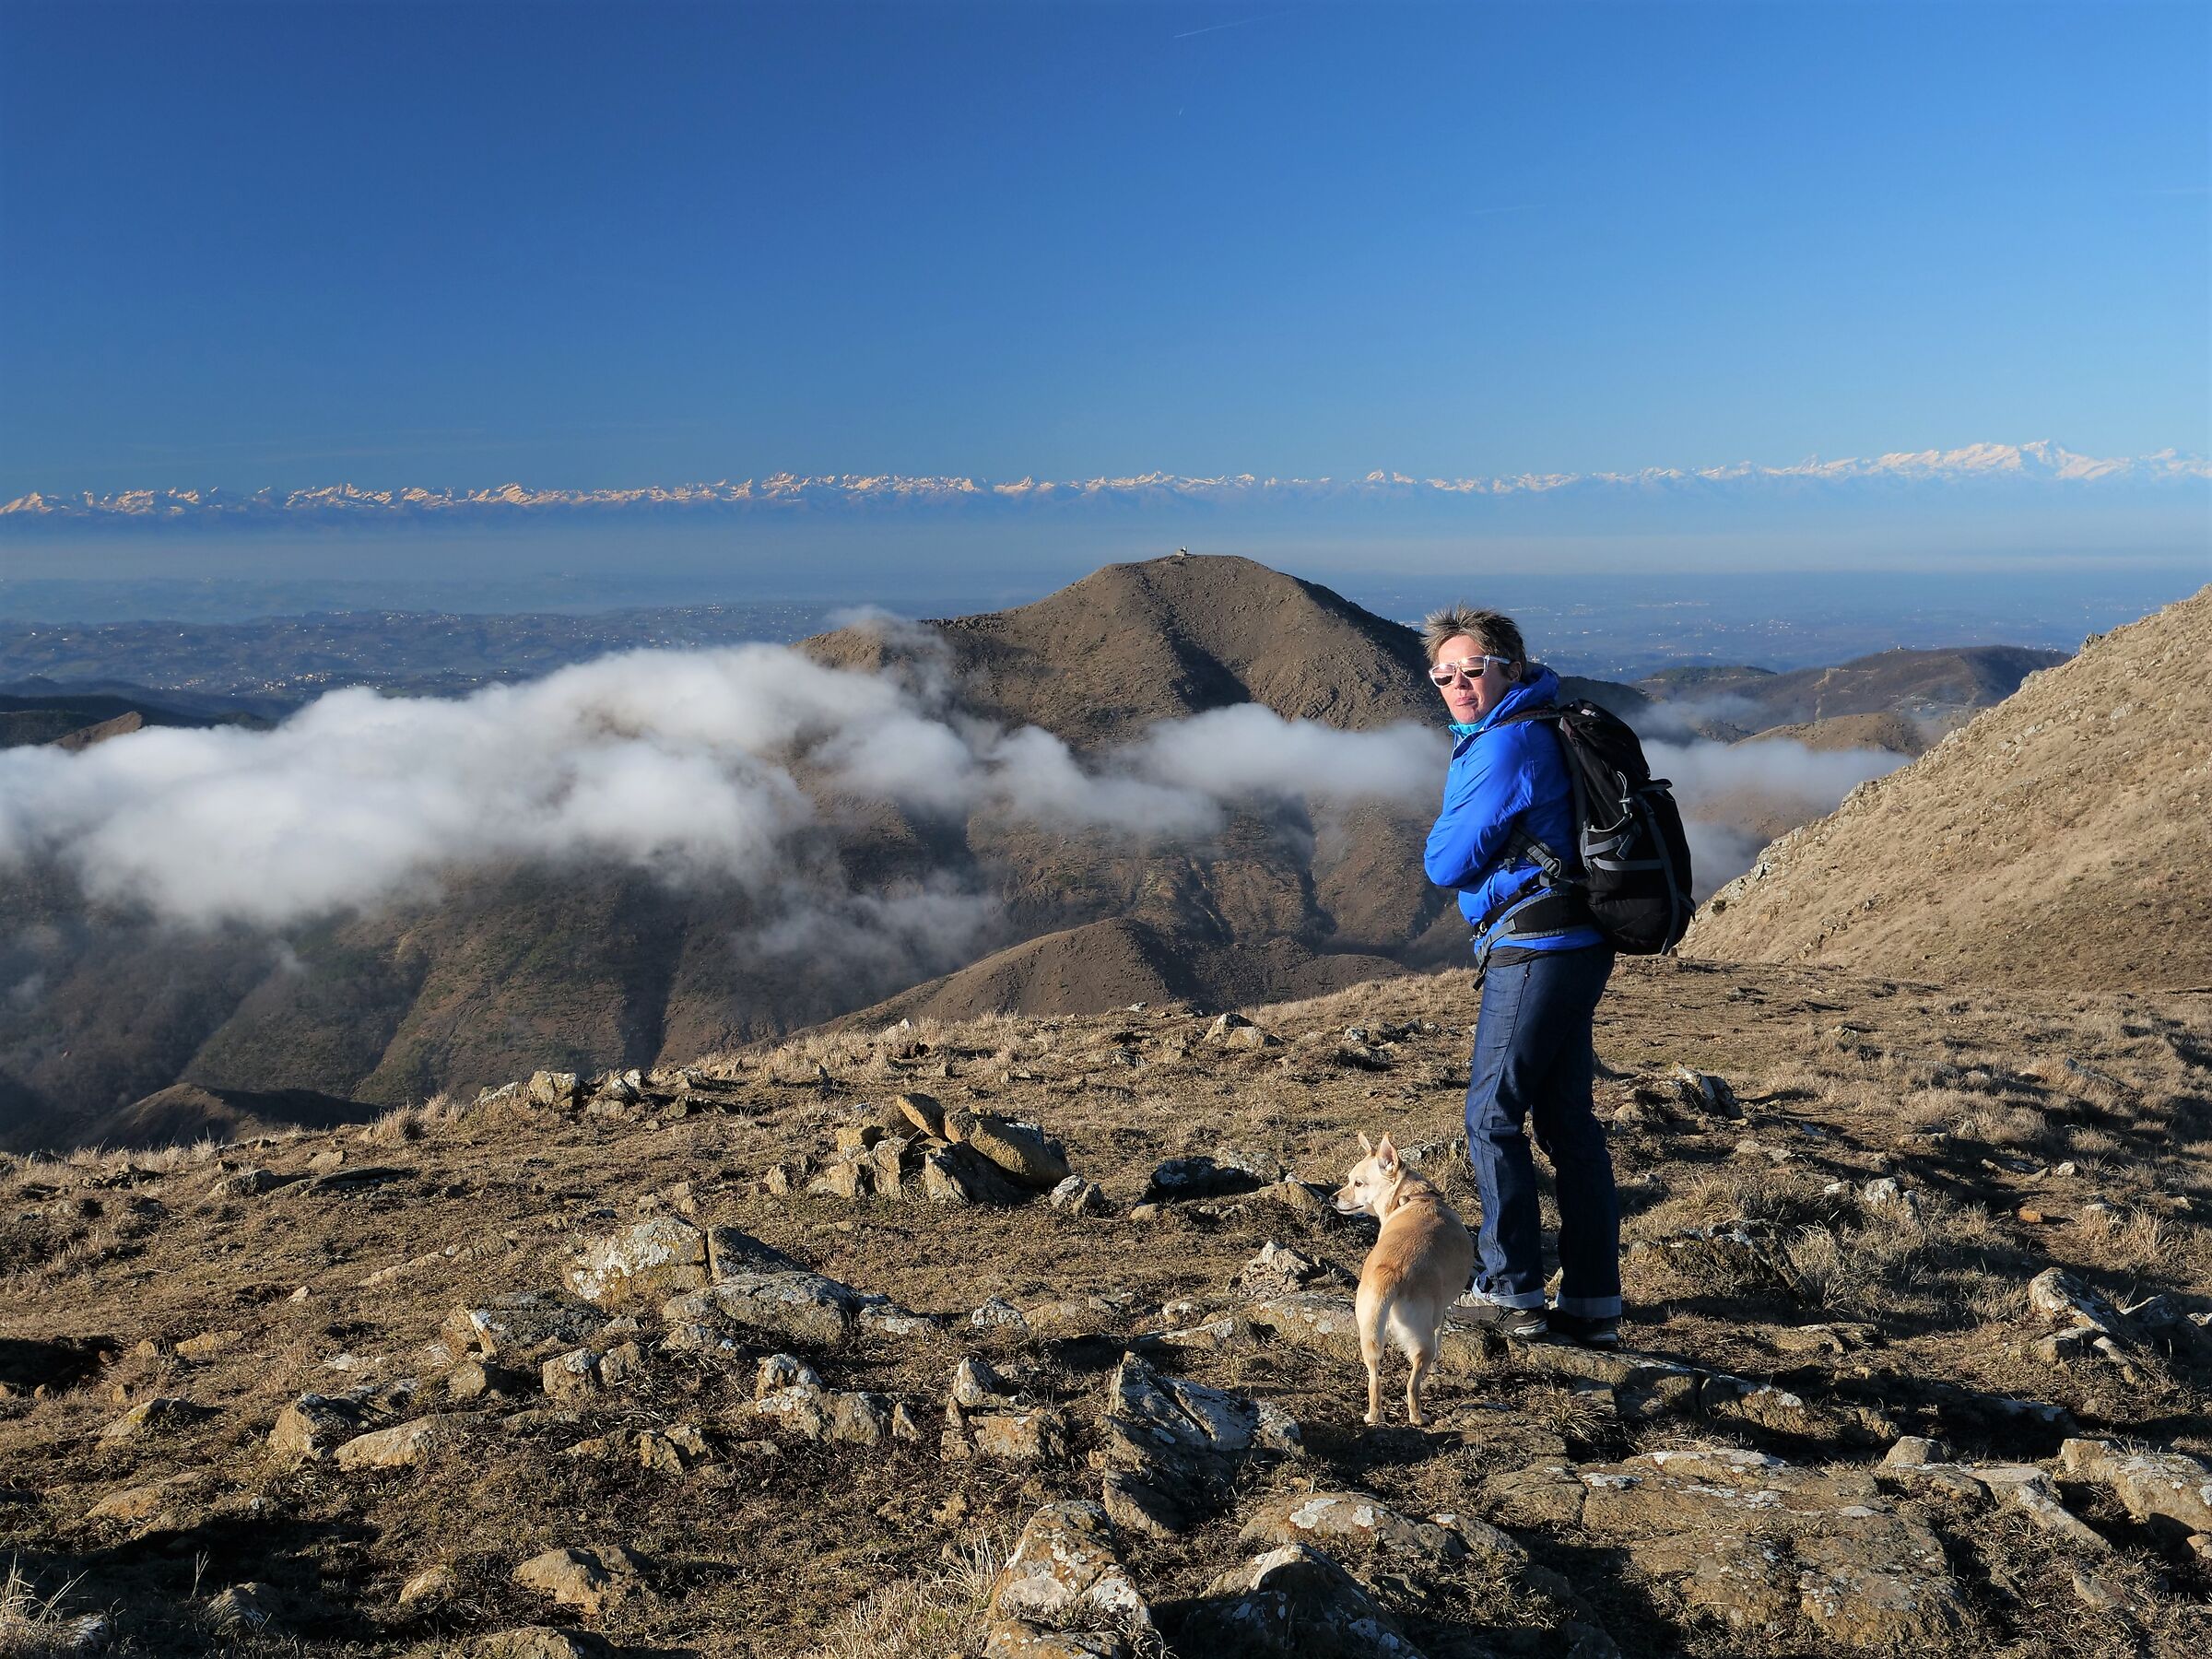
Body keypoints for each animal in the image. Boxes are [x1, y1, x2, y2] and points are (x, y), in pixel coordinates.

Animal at [1327, 1141, 1468, 1433]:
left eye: (1357, 1183)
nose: (1332, 1198)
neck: (1415, 1198)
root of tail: (1392, 1271)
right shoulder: (1440, 1314)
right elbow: (1440, 1335)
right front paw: (1437, 1370)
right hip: (1421, 1340)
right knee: (1413, 1382)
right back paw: (1418, 1417)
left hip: (1369, 1332)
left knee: (1374, 1379)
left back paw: (1374, 1416)